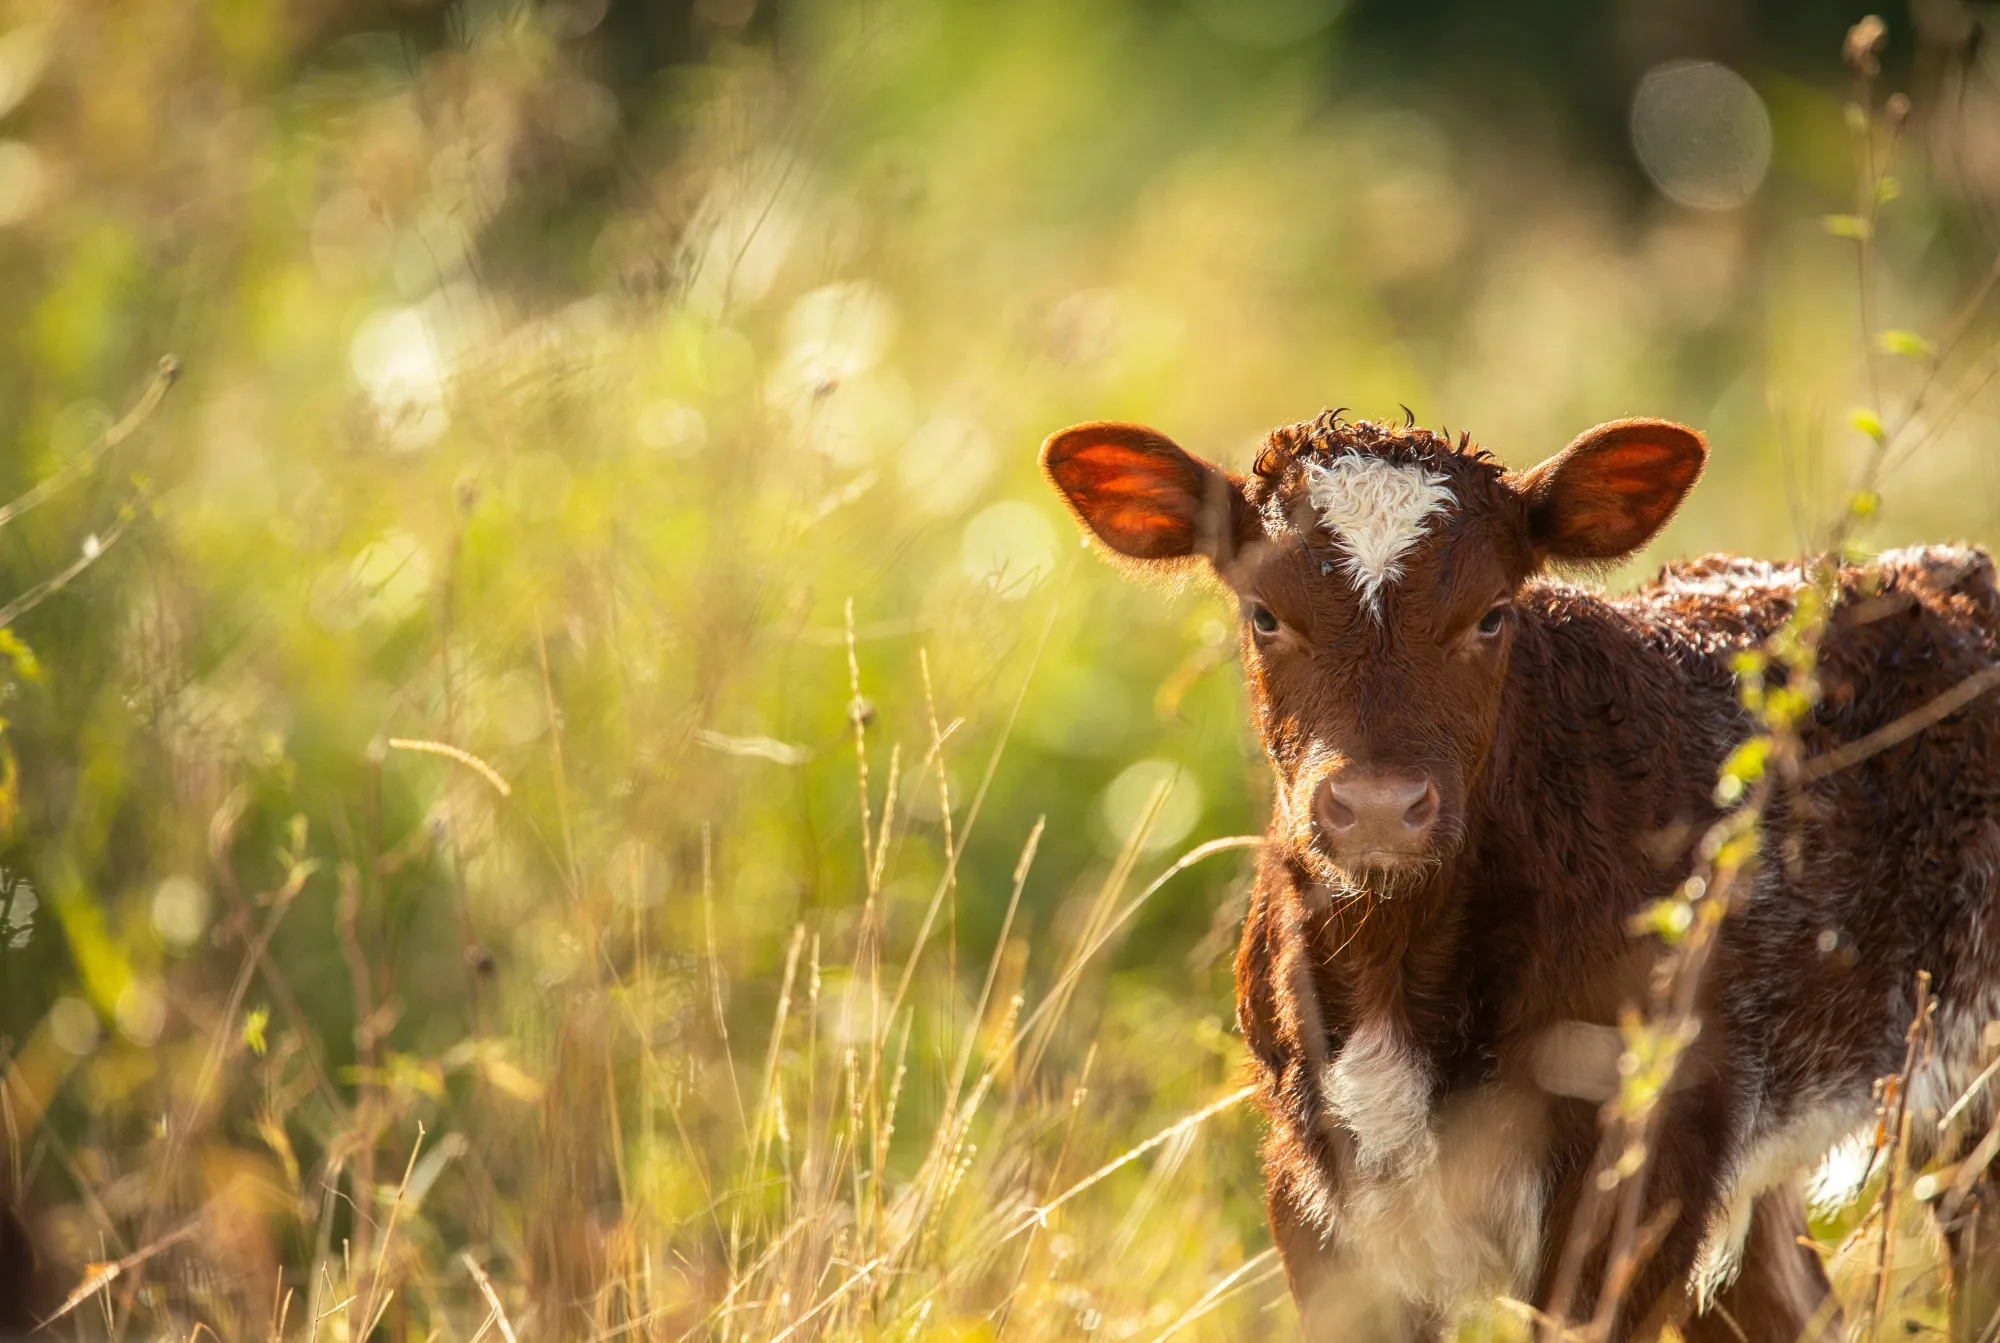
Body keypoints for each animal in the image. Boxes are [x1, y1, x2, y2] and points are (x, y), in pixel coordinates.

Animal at [1041, 409, 2000, 1341]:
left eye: (1492, 613)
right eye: (1264, 612)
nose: (1379, 805)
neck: (1396, 969)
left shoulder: (1644, 1161)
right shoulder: (1310, 1190)